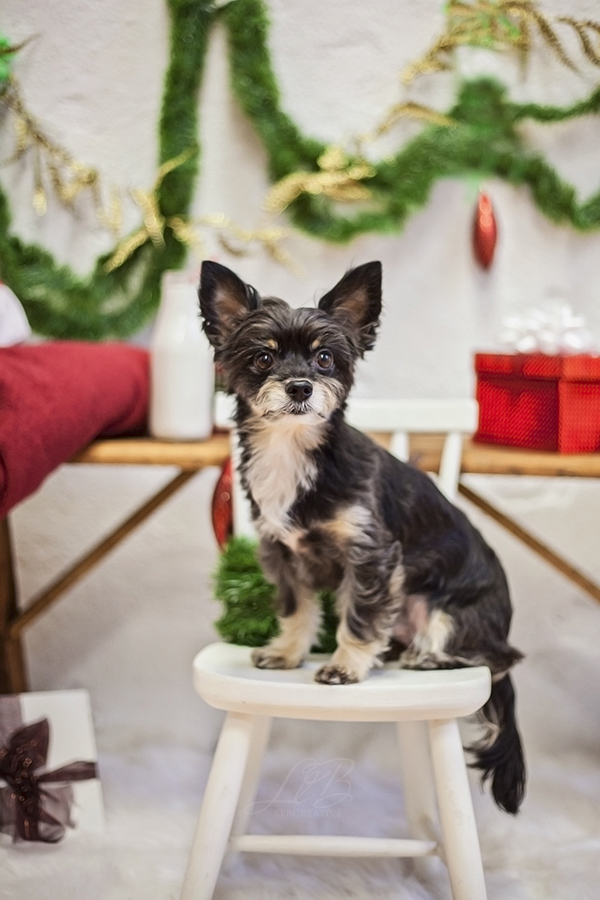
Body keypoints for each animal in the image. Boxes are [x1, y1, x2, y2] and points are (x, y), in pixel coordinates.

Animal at [200, 256, 524, 812]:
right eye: (263, 358)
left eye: (325, 358)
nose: (300, 386)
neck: (292, 452)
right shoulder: (282, 554)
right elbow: (298, 610)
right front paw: (288, 652)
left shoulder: (371, 554)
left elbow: (359, 616)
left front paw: (345, 666)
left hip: (448, 610)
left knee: (492, 655)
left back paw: (428, 657)